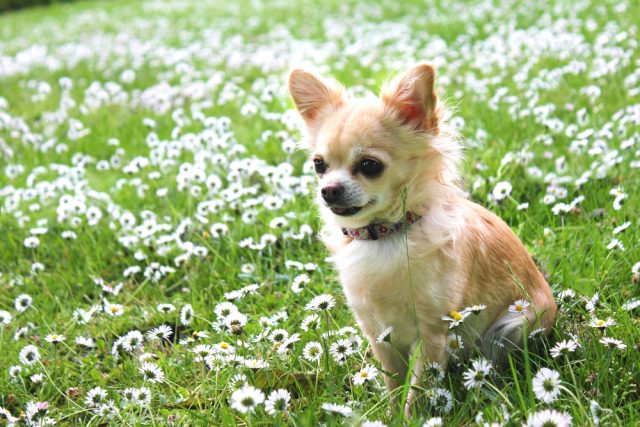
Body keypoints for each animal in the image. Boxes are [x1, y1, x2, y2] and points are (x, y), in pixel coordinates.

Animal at [288, 63, 556, 414]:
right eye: (319, 165)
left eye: (369, 165)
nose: (328, 190)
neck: (386, 234)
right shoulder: (379, 334)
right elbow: (393, 383)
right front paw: (390, 415)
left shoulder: (432, 333)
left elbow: (417, 390)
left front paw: (413, 416)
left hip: (513, 327)